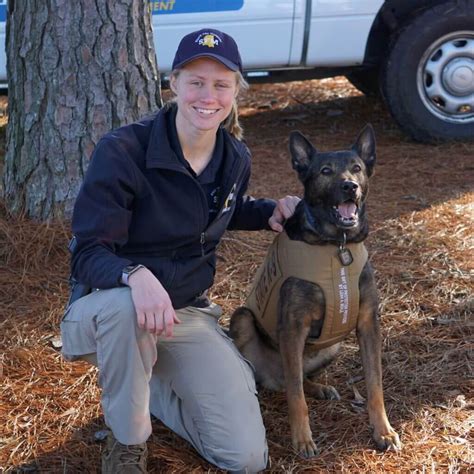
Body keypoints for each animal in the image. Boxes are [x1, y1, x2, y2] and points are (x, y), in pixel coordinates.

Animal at [230, 124, 400, 458]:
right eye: (325, 171)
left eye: (356, 168)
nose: (349, 186)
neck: (336, 245)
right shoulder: (293, 326)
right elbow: (296, 398)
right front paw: (302, 439)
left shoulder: (367, 323)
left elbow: (375, 385)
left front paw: (383, 431)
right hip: (242, 319)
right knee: (284, 381)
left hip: (332, 346)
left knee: (297, 379)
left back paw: (320, 387)